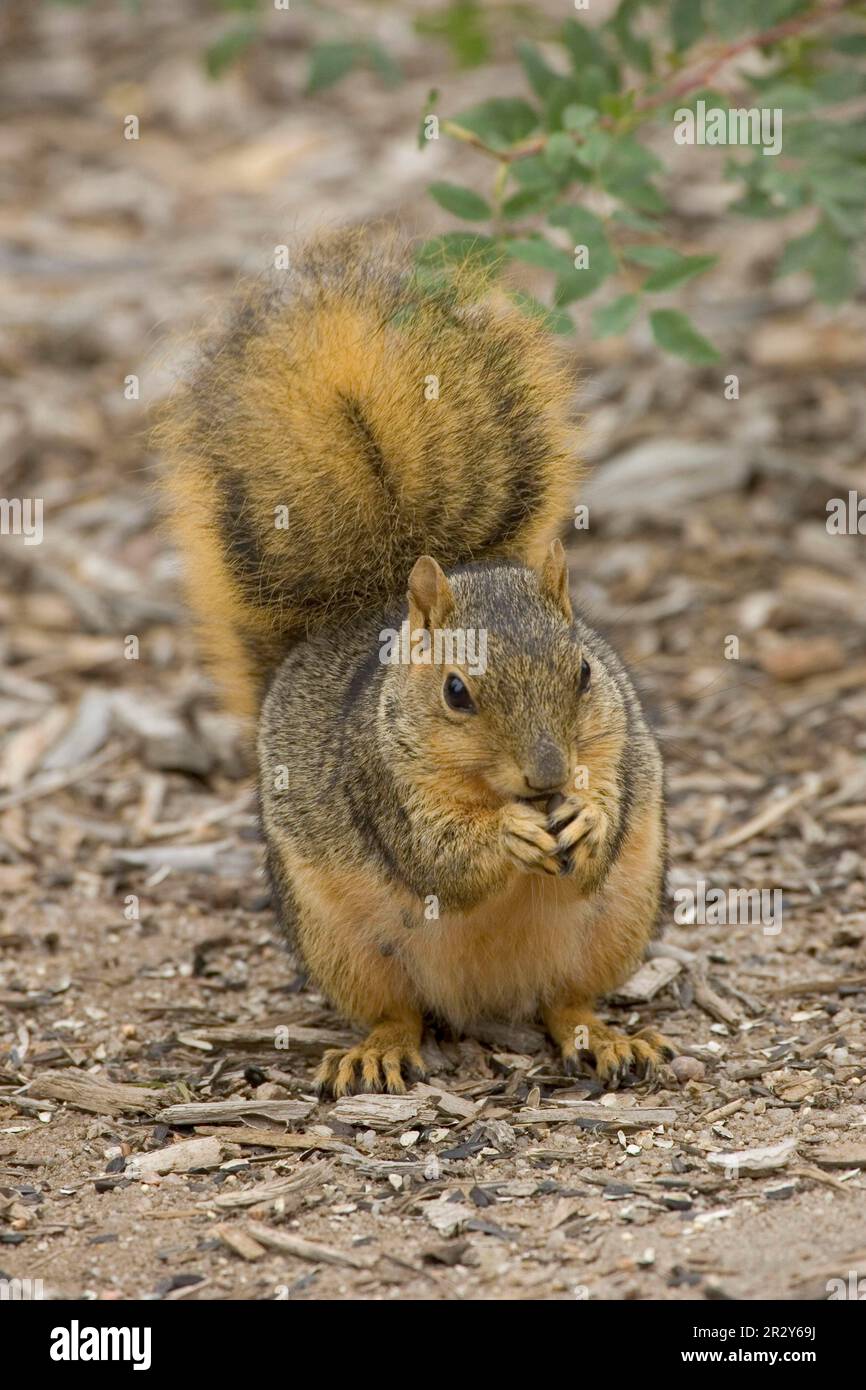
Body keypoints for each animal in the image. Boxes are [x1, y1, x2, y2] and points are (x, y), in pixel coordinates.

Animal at [157, 230, 670, 1095]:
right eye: (456, 691)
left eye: (585, 673)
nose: (547, 778)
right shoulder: (378, 784)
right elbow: (441, 862)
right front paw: (507, 836)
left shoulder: (621, 749)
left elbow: (607, 821)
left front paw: (587, 816)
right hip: (344, 946)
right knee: (398, 1010)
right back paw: (379, 1051)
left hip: (618, 923)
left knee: (565, 1002)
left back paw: (606, 1037)